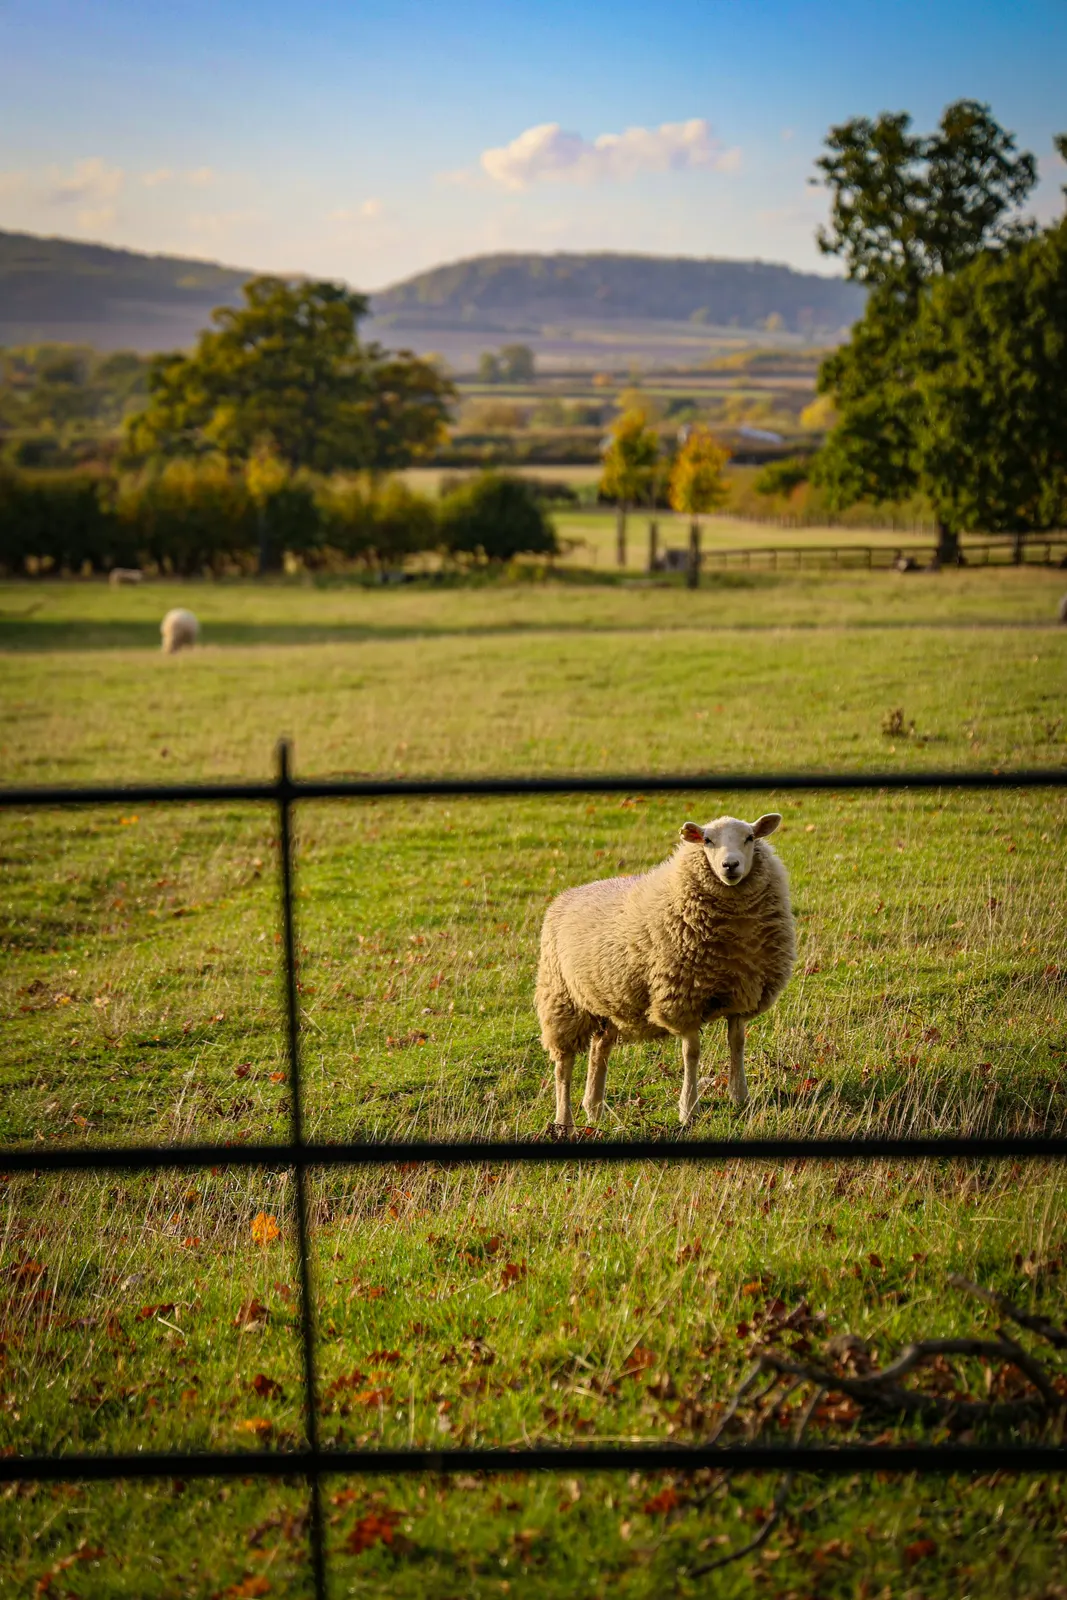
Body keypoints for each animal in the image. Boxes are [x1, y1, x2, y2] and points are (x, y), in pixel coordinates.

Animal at [535, 814, 795, 1131]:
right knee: (563, 1064)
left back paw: (594, 1109)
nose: (730, 865)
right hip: (561, 999)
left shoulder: (741, 994)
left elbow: (737, 1043)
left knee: (599, 1050)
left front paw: (740, 1098)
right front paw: (688, 1109)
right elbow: (691, 1053)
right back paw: (564, 1120)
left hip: (609, 1004)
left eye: (749, 838)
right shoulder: (683, 998)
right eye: (707, 840)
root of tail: (567, 894)